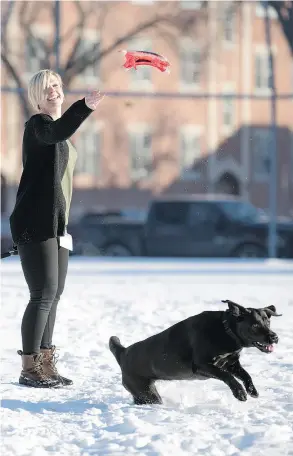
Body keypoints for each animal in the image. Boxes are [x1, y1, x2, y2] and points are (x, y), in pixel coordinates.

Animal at [108, 302, 280, 404]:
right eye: (255, 325)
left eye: (268, 322)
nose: (274, 337)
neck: (225, 331)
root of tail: (123, 352)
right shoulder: (202, 366)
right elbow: (228, 377)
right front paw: (240, 393)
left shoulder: (231, 363)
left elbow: (246, 375)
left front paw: (252, 391)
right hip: (147, 393)